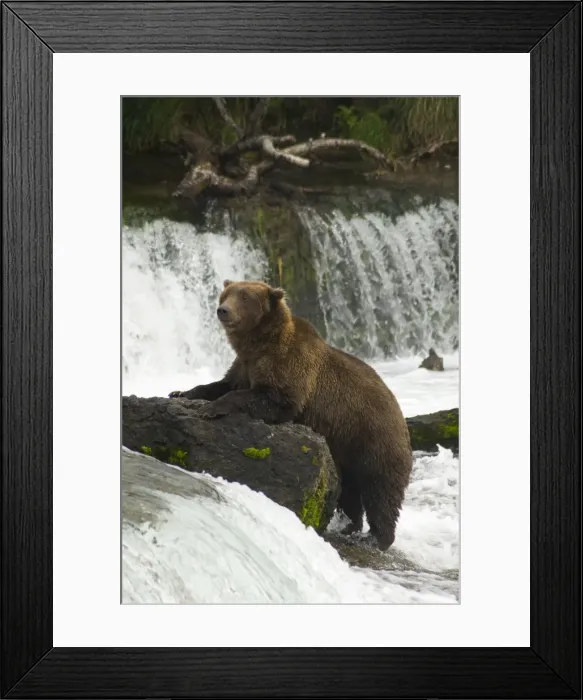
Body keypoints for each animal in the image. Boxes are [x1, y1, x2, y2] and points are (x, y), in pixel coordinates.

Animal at [170, 280, 412, 550]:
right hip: (343, 449)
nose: (223, 310)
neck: (258, 343)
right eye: (226, 294)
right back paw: (350, 527)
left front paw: (210, 409)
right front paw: (181, 393)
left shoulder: (290, 366)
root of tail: (400, 415)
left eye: (245, 297)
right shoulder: (244, 366)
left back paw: (377, 538)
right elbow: (222, 384)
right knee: (349, 490)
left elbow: (273, 398)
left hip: (372, 439)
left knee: (380, 491)